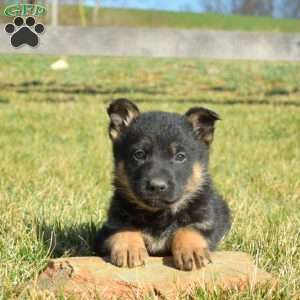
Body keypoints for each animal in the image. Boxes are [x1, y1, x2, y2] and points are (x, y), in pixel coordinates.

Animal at [95, 99, 231, 272]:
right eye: (139, 154)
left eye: (180, 156)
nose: (157, 186)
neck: (159, 215)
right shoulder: (109, 227)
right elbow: (124, 228)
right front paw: (128, 247)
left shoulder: (207, 223)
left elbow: (188, 228)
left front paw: (191, 249)